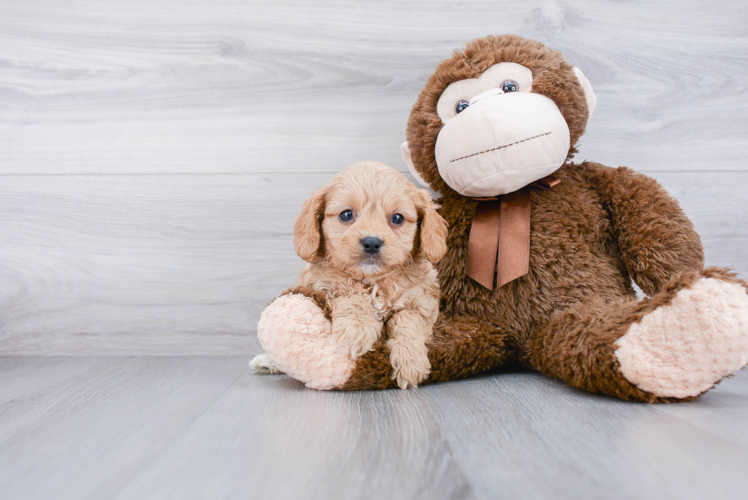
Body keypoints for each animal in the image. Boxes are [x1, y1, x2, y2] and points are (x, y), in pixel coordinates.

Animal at [270, 162, 448, 388]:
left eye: (397, 218)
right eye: (346, 215)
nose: (371, 242)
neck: (374, 281)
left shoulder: (423, 301)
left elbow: (408, 317)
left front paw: (411, 362)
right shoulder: (323, 284)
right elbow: (351, 293)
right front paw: (357, 330)